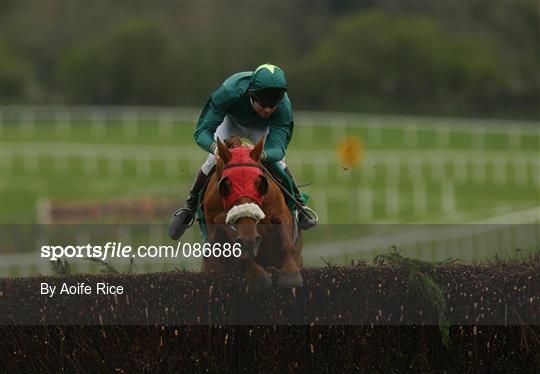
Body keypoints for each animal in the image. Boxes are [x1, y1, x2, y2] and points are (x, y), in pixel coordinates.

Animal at [201, 136, 306, 288]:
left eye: (259, 184)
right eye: (227, 186)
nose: (250, 240)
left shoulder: (281, 213)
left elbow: (283, 232)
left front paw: (290, 273)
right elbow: (224, 226)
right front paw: (258, 275)